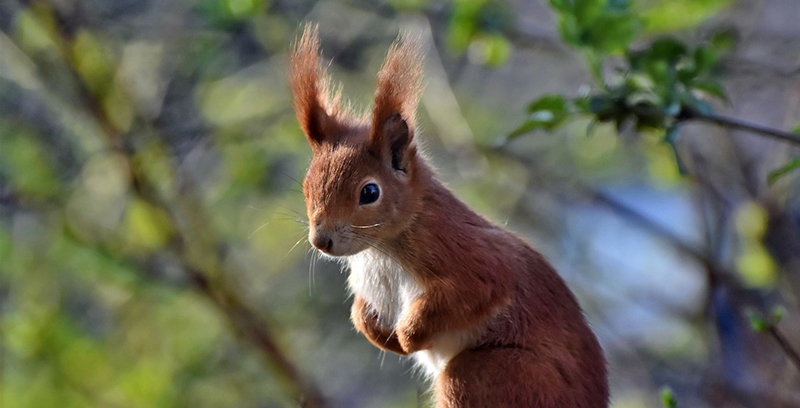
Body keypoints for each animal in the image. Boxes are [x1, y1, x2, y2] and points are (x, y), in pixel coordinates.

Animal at [288, 25, 608, 408]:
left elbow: (475, 288)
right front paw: (380, 334)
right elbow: (360, 313)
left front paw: (408, 337)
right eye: (307, 186)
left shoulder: (464, 253)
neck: (380, 250)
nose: (321, 241)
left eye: (369, 192)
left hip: (494, 376)